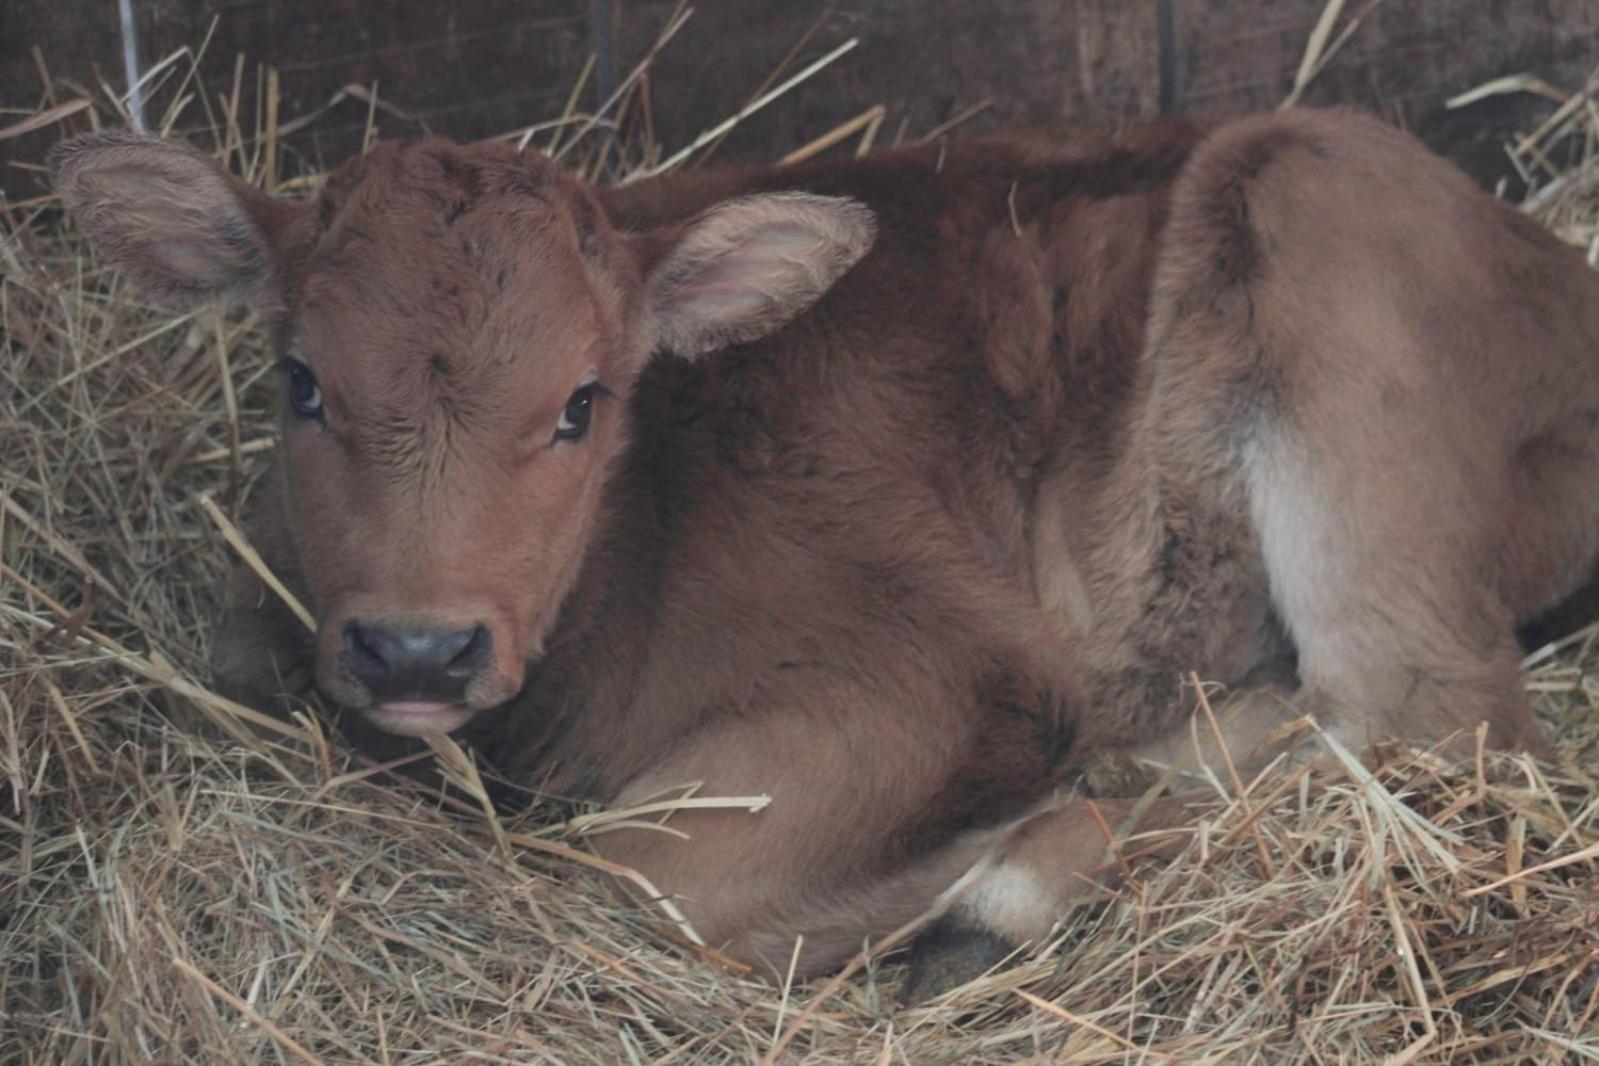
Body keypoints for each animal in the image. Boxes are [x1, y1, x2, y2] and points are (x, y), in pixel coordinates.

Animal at [53, 108, 1599, 990]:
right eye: (300, 380)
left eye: (582, 400)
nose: (416, 646)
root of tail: (1544, 258)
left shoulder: (931, 673)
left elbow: (644, 875)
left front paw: (979, 860)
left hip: (1331, 296)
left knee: (1434, 723)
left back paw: (1010, 885)